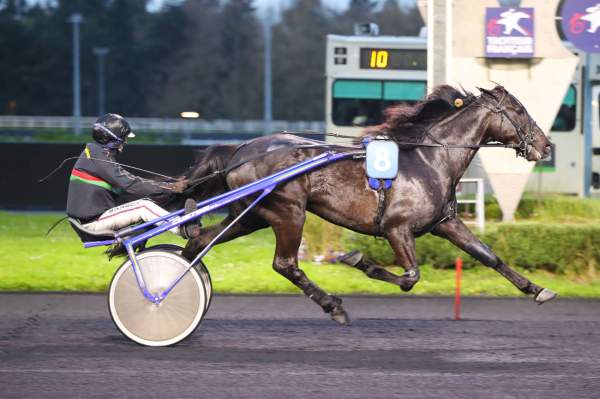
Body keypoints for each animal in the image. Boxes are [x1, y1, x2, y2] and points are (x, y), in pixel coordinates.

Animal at [177, 85, 552, 324]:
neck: (430, 160)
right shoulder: (396, 228)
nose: (546, 146)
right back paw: (333, 305)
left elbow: (489, 256)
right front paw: (358, 260)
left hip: (250, 215)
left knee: (200, 240)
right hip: (288, 212)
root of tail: (240, 150)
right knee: (285, 264)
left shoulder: (445, 224)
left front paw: (537, 289)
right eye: (519, 110)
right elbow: (410, 277)